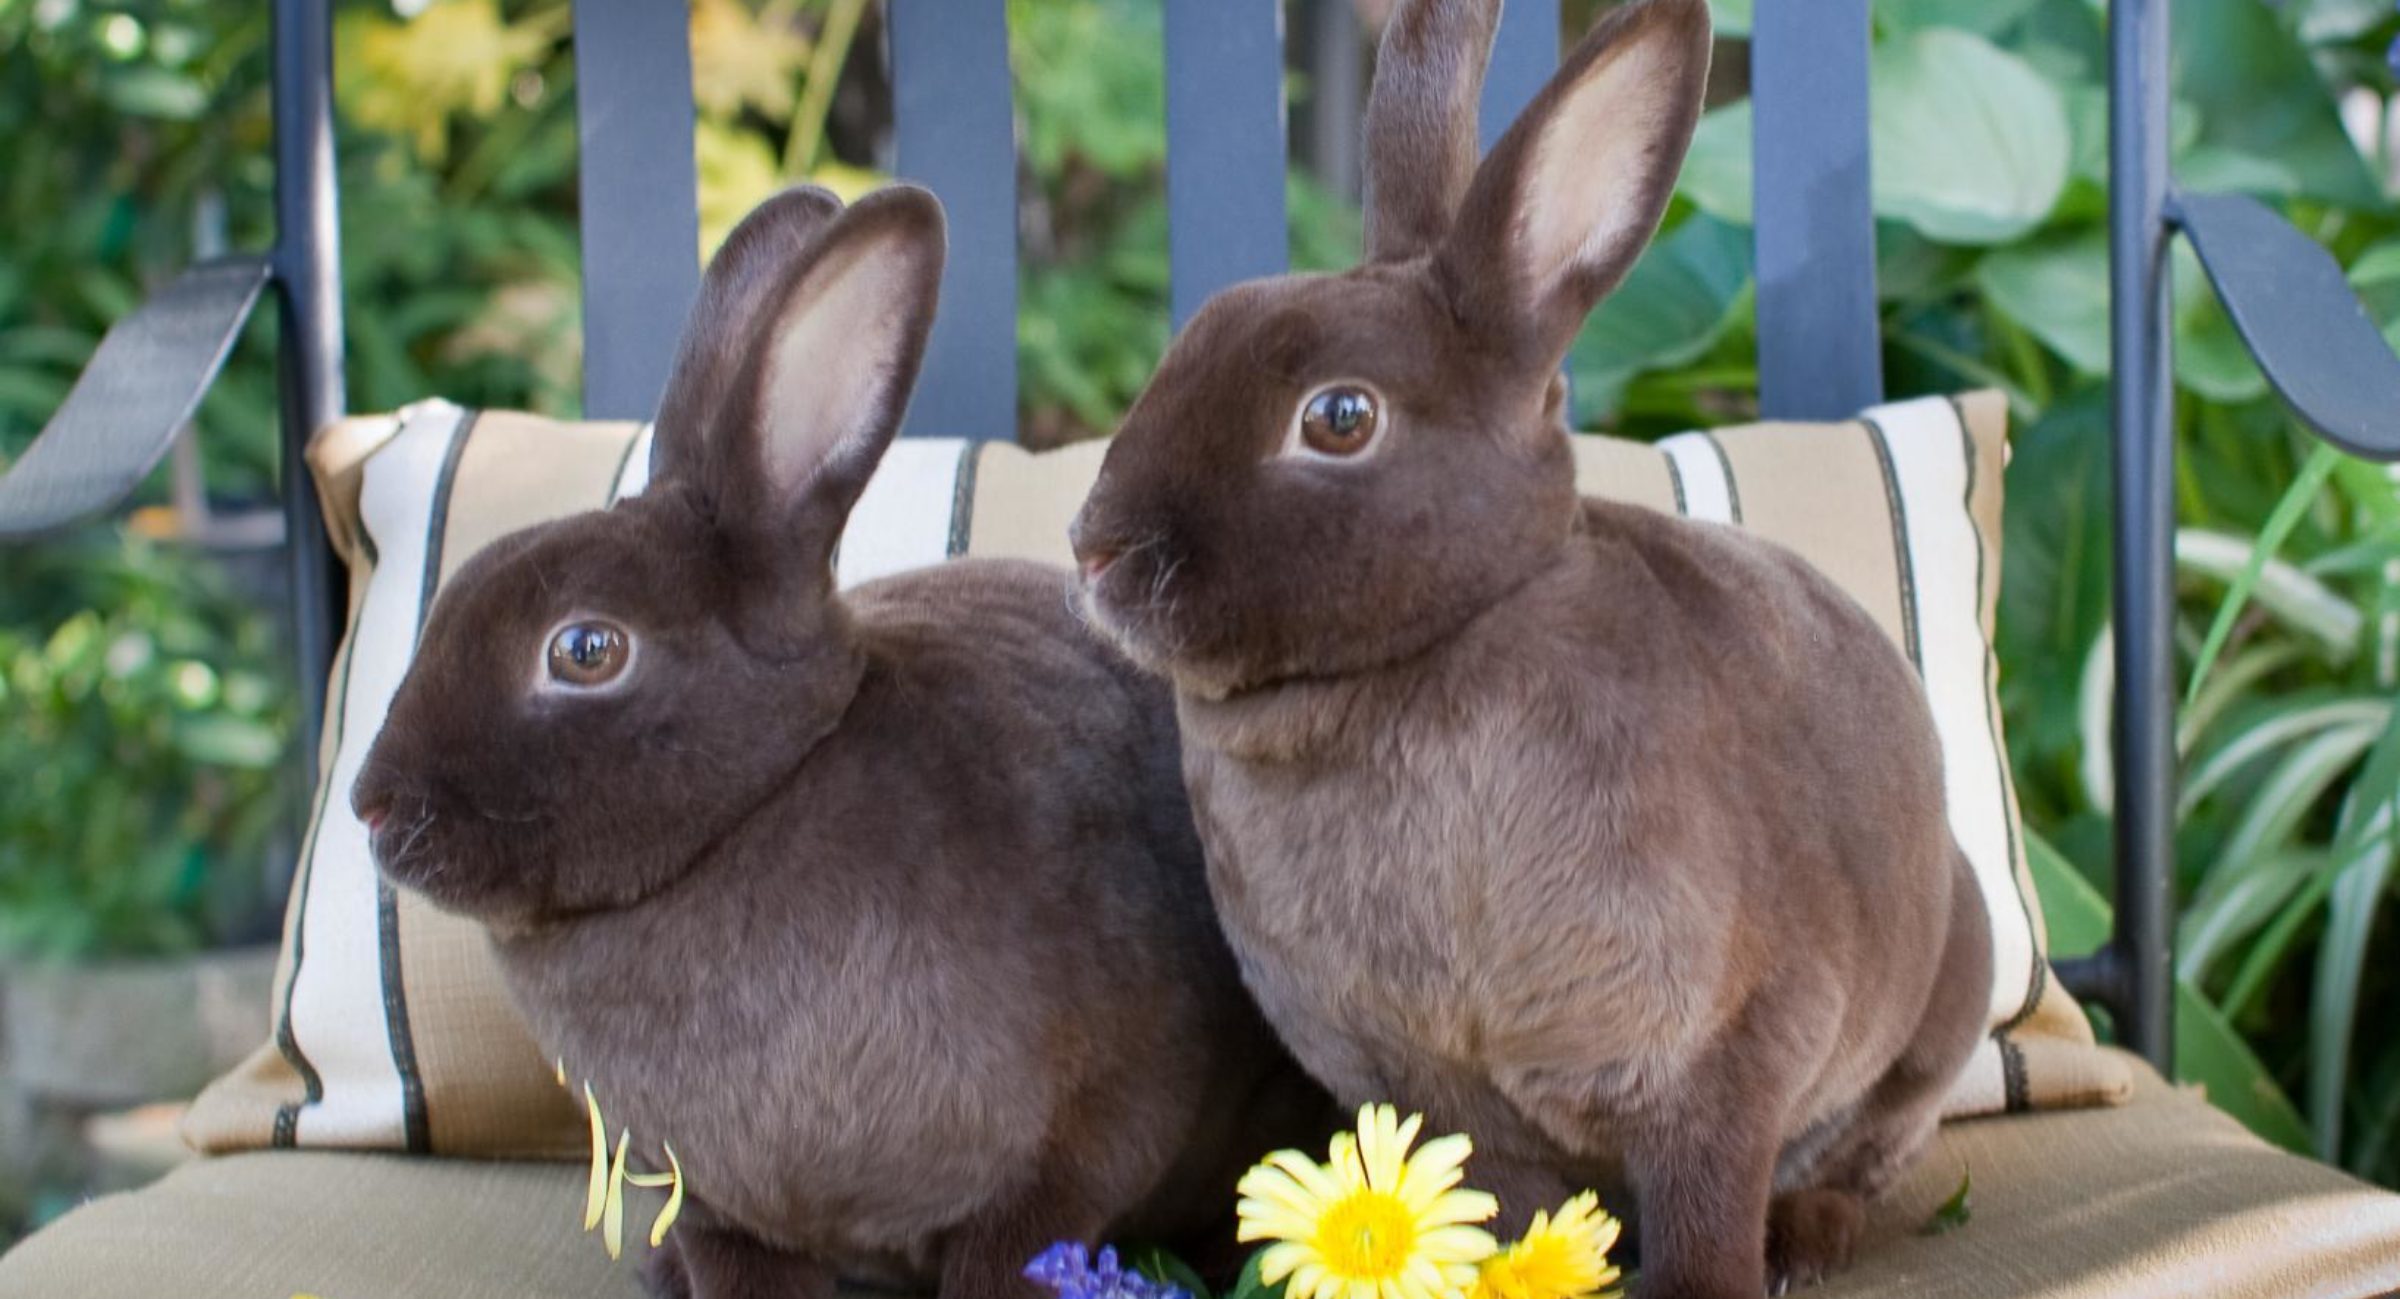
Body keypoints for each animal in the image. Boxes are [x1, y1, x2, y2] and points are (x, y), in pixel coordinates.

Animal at [351, 184, 1328, 1299]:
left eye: (586, 649)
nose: (374, 802)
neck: (763, 795)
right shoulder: (722, 1211)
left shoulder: (1082, 1142)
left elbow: (1016, 1247)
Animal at [1064, 1, 1993, 1296]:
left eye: (1338, 418)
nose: (1096, 549)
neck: (1432, 647)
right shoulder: (1438, 1096)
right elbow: (1503, 1209)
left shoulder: (1731, 1048)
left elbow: (1710, 1198)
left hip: (1939, 1009)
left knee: (1862, 1156)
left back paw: (1807, 1240)